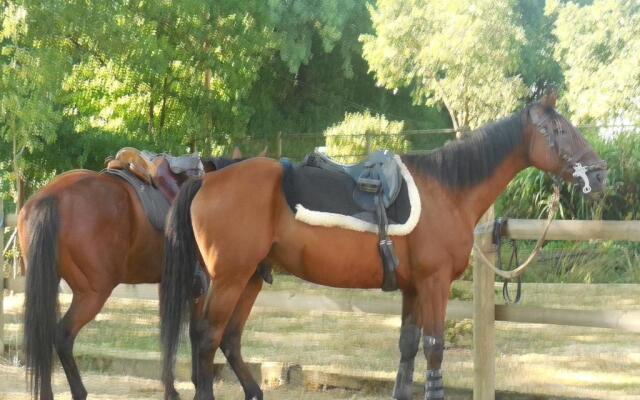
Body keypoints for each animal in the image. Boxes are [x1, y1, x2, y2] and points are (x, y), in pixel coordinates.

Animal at [16, 148, 250, 398]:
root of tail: (52, 197)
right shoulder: (197, 285)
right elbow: (193, 332)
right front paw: (193, 385)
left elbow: (167, 334)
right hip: (92, 293)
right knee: (62, 336)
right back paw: (79, 391)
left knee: (44, 336)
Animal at [162, 92, 608, 400]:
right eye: (561, 130)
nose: (600, 175)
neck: (448, 190)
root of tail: (207, 178)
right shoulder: (435, 284)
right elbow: (434, 350)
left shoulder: (413, 288)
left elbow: (407, 349)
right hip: (230, 278)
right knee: (206, 338)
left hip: (250, 277)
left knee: (229, 339)